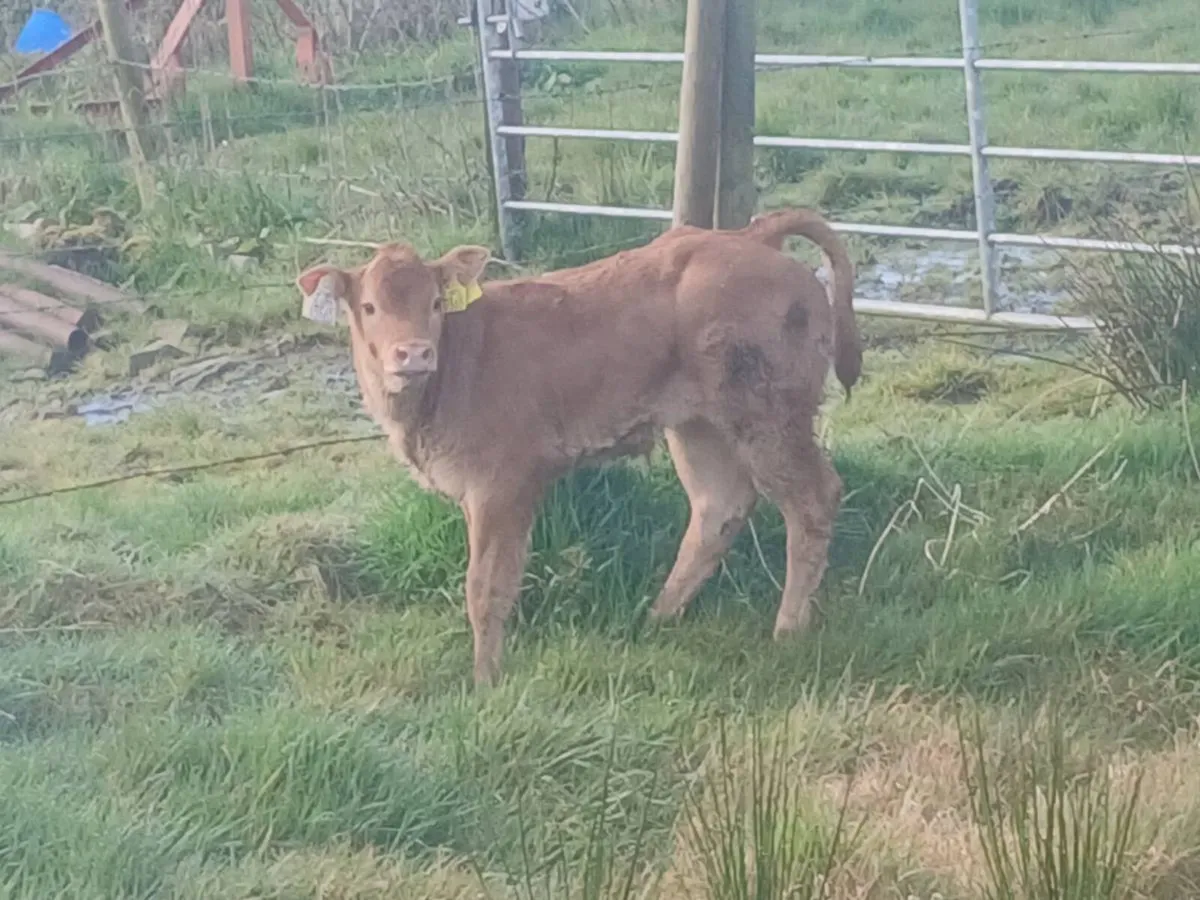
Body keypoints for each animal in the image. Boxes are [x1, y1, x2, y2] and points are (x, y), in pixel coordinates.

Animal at [297, 207, 862, 685]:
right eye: (369, 306)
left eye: (435, 304)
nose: (413, 353)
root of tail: (750, 236)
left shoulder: (500, 486)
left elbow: (485, 587)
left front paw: (485, 681)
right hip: (699, 425)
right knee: (717, 508)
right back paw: (657, 617)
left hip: (769, 419)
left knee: (812, 500)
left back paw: (786, 629)